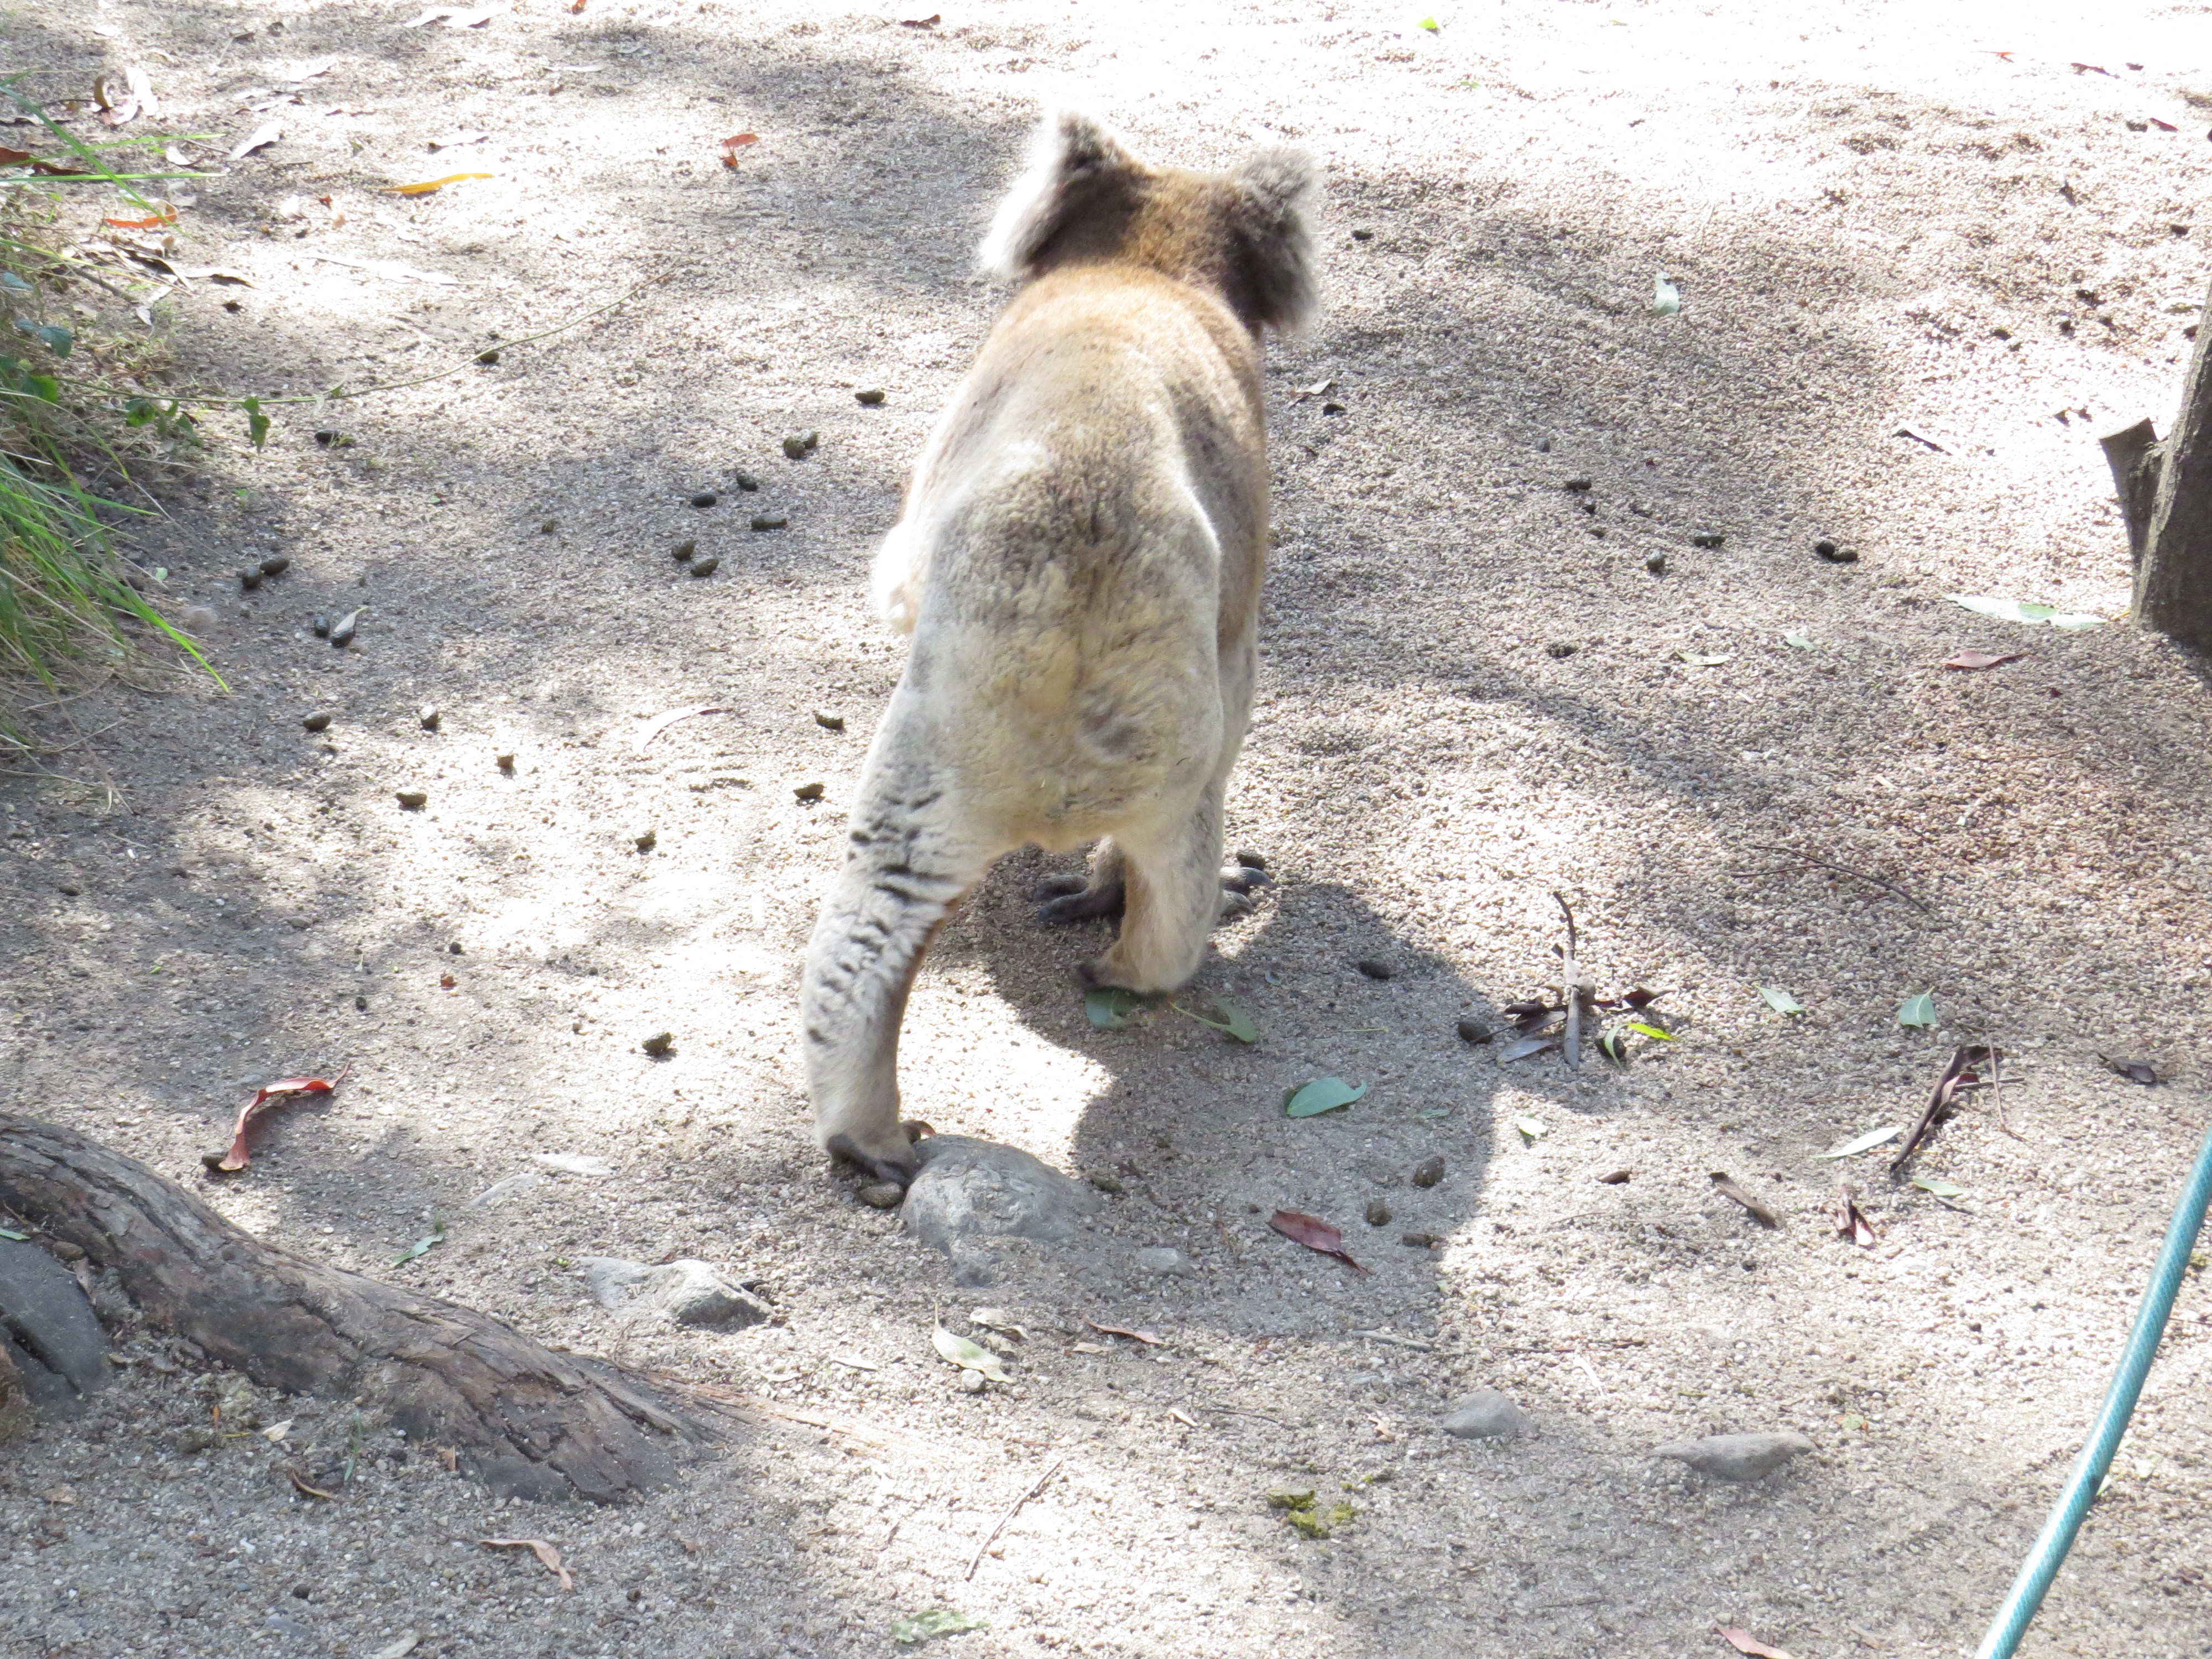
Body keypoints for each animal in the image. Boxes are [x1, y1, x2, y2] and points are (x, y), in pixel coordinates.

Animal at [798, 109, 1318, 1186]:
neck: (1146, 266)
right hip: (1172, 762)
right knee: (1171, 913)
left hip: (940, 766)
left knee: (870, 935)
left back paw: (872, 1139)